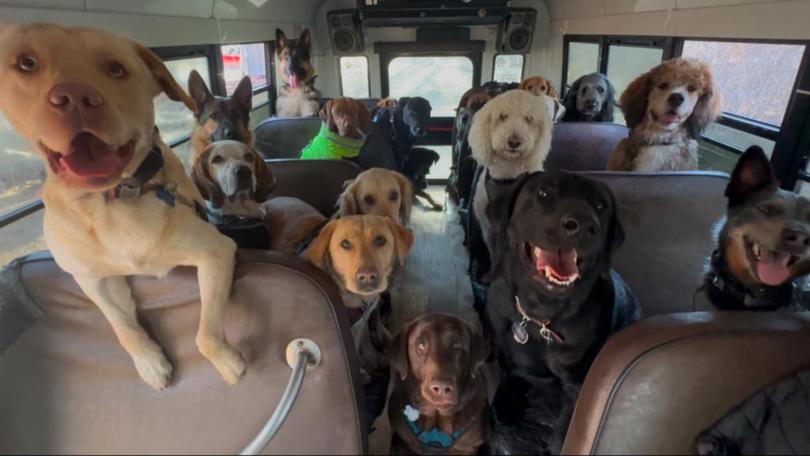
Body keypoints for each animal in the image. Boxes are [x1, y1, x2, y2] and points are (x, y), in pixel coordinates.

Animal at [0, 23, 246, 390]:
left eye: (116, 69)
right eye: (26, 64)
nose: (75, 98)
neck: (113, 202)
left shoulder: (214, 251)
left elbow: (204, 332)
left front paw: (226, 361)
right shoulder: (90, 277)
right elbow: (119, 323)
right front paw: (149, 362)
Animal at [480, 172, 636, 456]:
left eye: (601, 205)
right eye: (544, 192)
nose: (584, 224)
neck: (540, 316)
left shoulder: (578, 384)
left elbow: (564, 429)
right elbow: (511, 375)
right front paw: (506, 402)